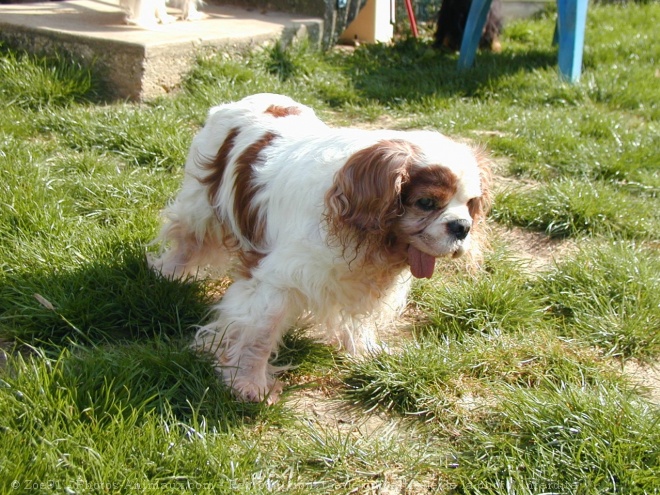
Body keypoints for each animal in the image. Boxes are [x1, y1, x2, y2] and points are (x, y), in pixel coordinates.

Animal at [150, 93, 490, 404]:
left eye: (470, 204)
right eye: (426, 203)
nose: (462, 227)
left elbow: (361, 322)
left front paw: (367, 353)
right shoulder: (276, 280)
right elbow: (259, 333)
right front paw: (248, 383)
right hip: (201, 207)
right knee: (187, 240)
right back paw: (169, 274)